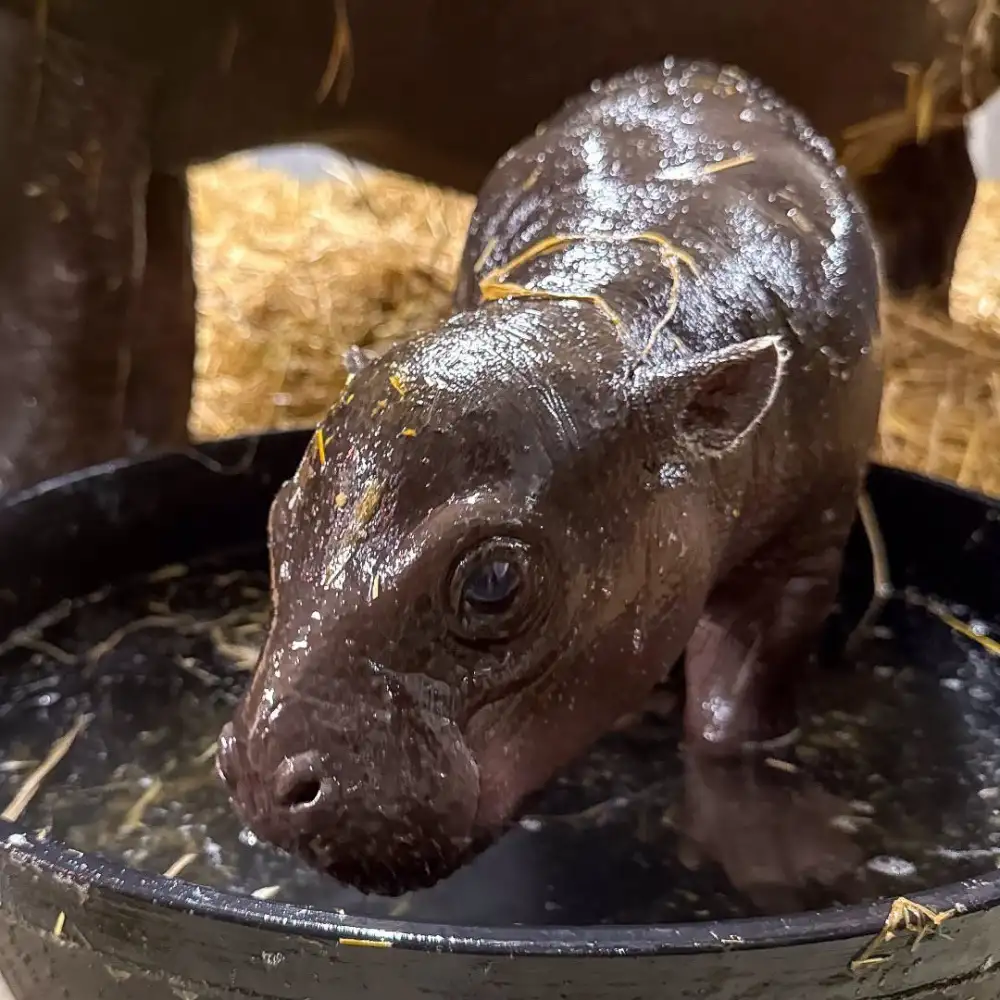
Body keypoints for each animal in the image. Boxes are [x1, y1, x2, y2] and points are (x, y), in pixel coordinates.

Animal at [215, 57, 883, 898]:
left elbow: (738, 707)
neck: (613, 302)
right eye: (279, 523)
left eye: (494, 581)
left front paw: (786, 861)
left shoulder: (805, 538)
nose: (257, 774)